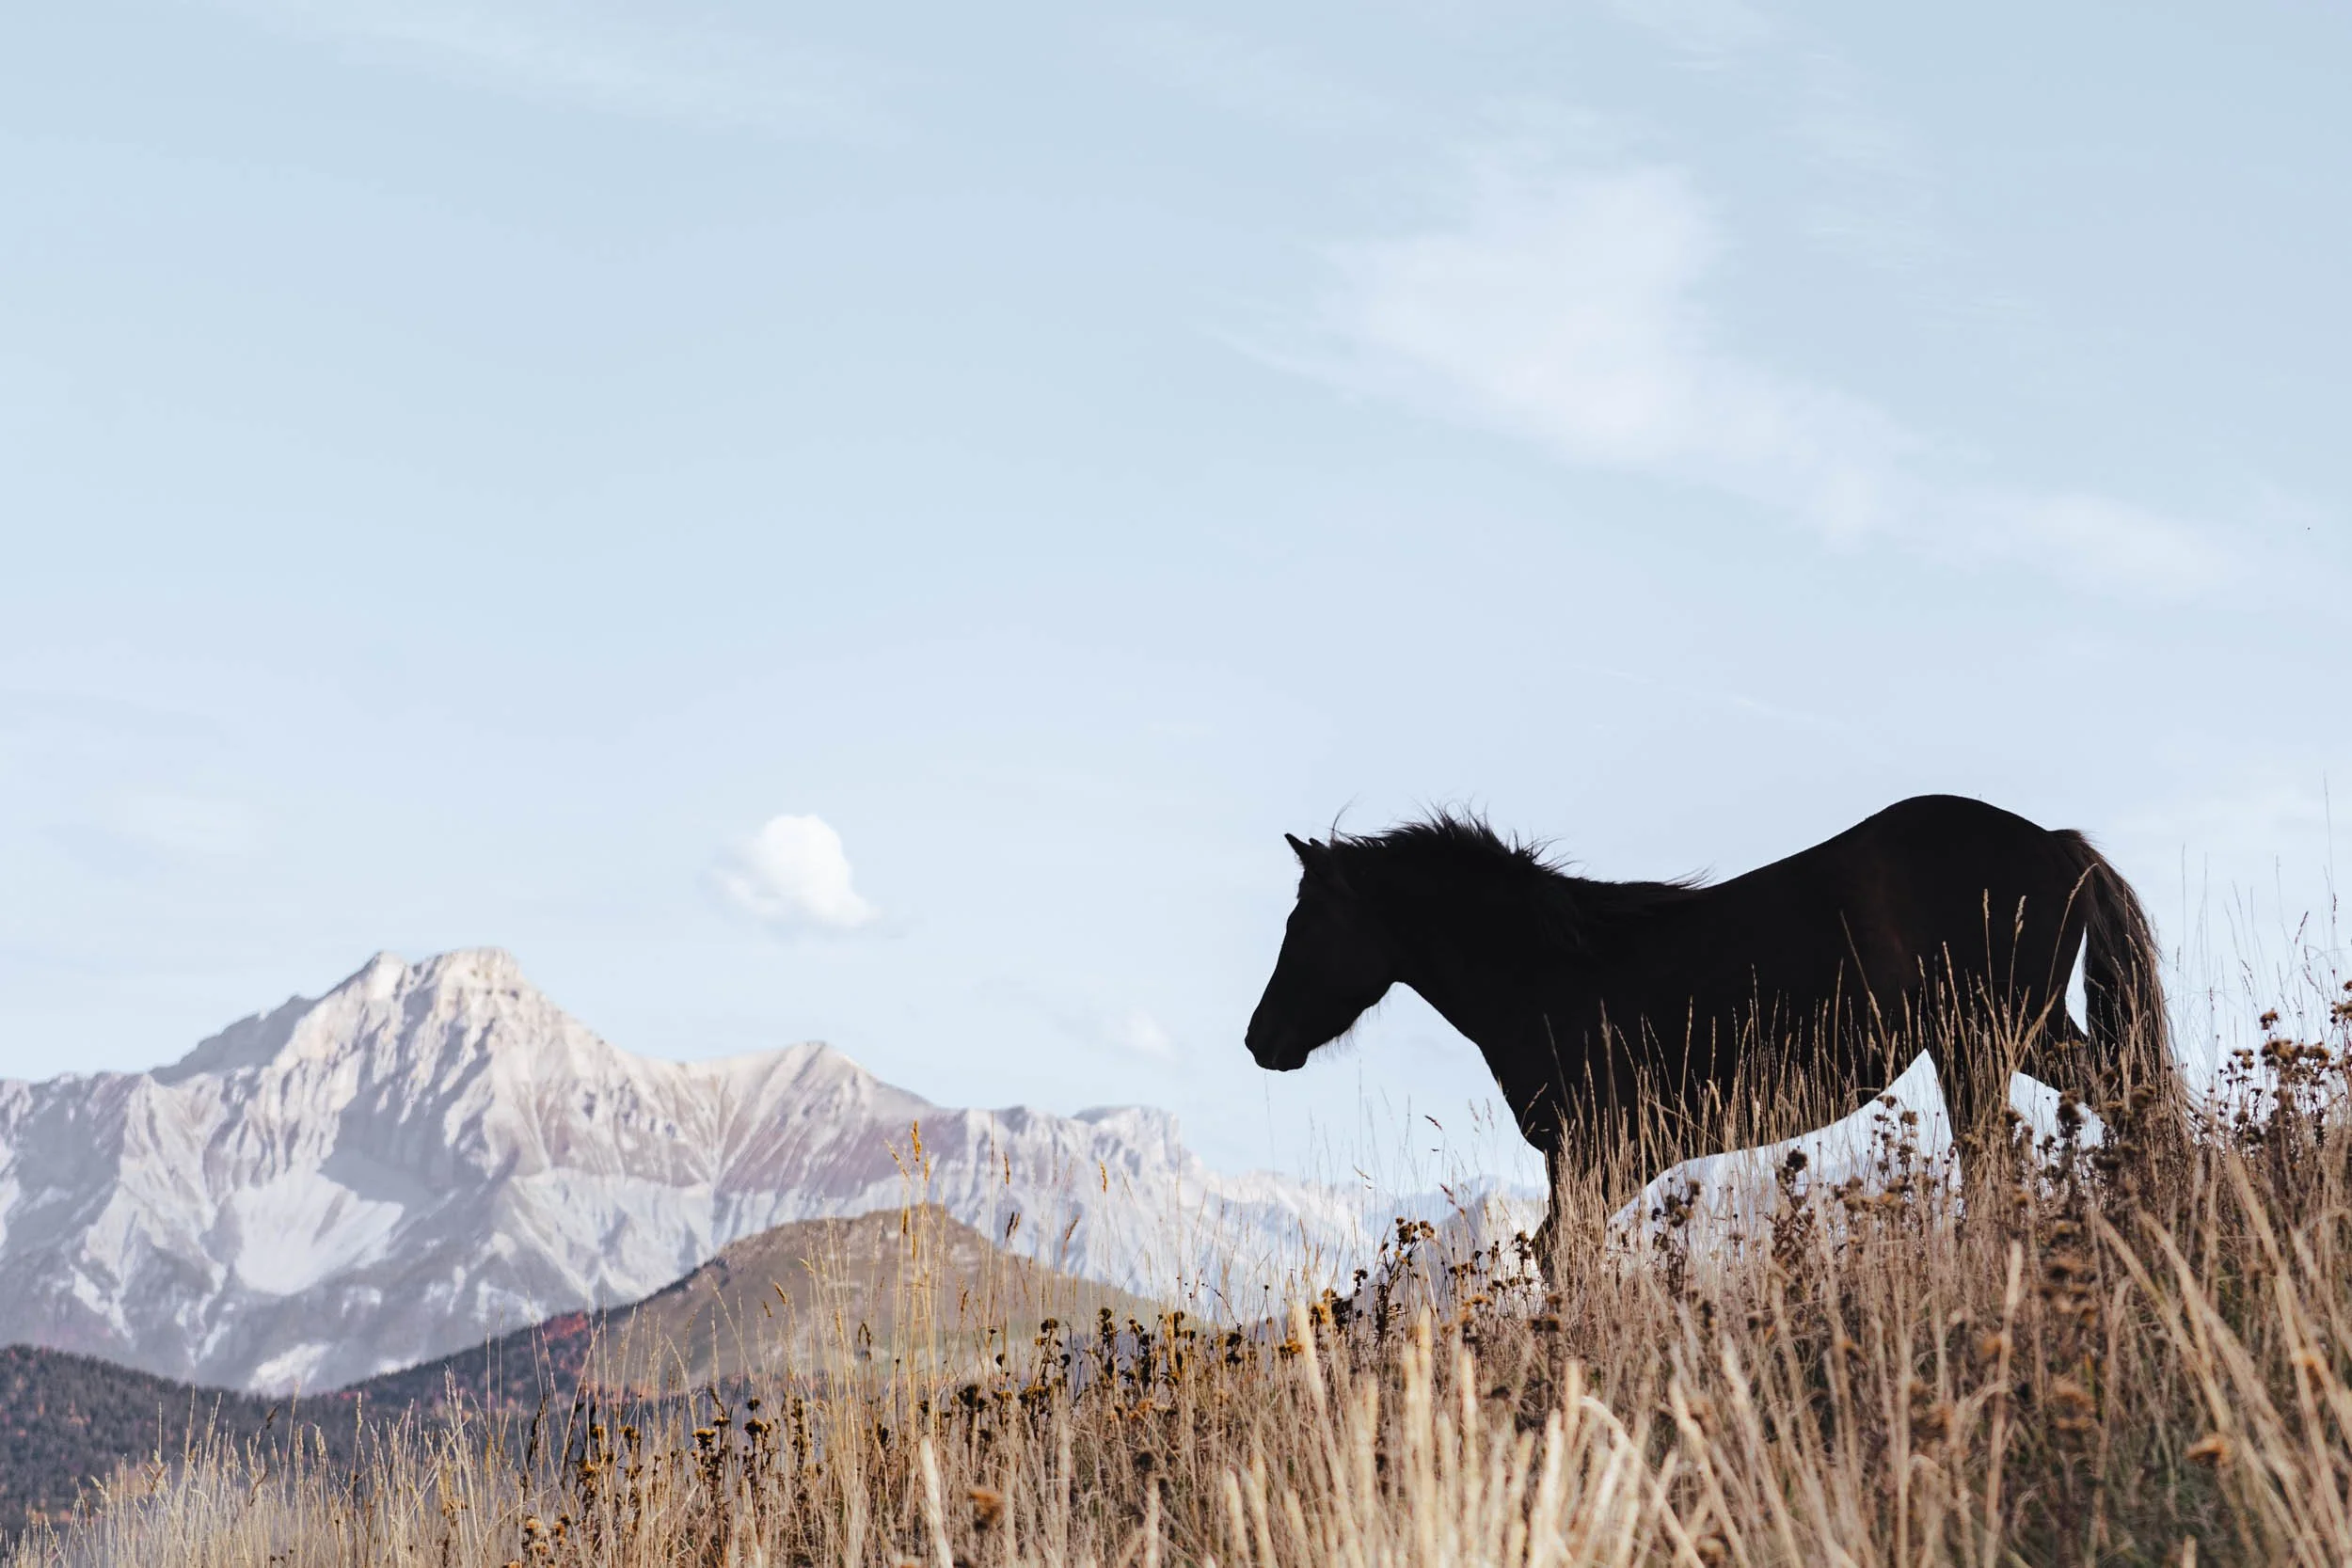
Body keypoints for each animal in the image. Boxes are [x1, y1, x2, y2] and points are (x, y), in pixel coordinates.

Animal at [1243, 795, 2176, 1262]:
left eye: (1305, 921)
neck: (1552, 968)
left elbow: (1561, 1254)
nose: (1261, 1039)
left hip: (1991, 1036)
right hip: (2005, 1036)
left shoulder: (1591, 1151)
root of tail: (2057, 842)